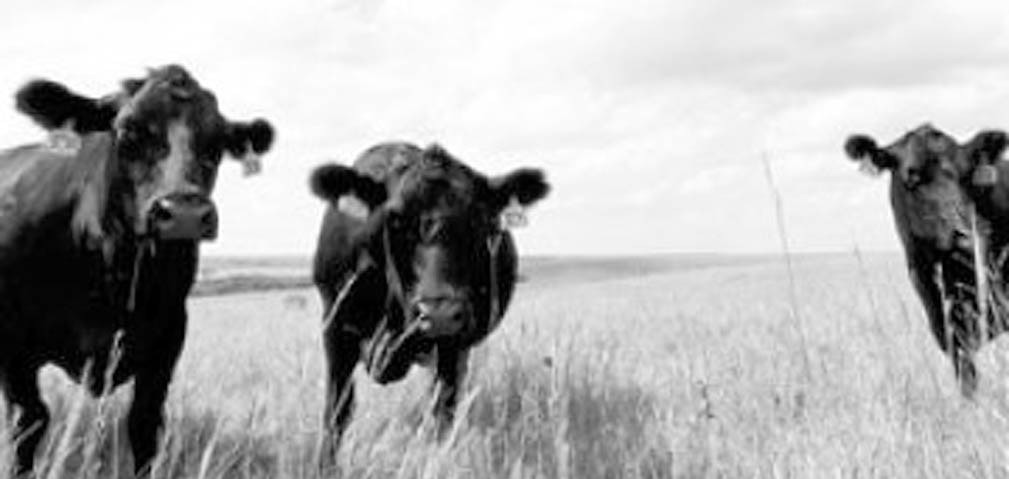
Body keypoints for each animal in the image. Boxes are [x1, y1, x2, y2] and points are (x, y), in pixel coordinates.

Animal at [0, 65, 275, 476]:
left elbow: (145, 423)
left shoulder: (168, 336)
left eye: (218, 142)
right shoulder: (12, 341)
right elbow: (28, 419)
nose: (184, 212)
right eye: (129, 131)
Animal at [309, 142, 549, 460]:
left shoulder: (452, 344)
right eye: (394, 220)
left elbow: (442, 414)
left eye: (479, 219)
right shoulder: (335, 326)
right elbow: (336, 412)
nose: (440, 314)